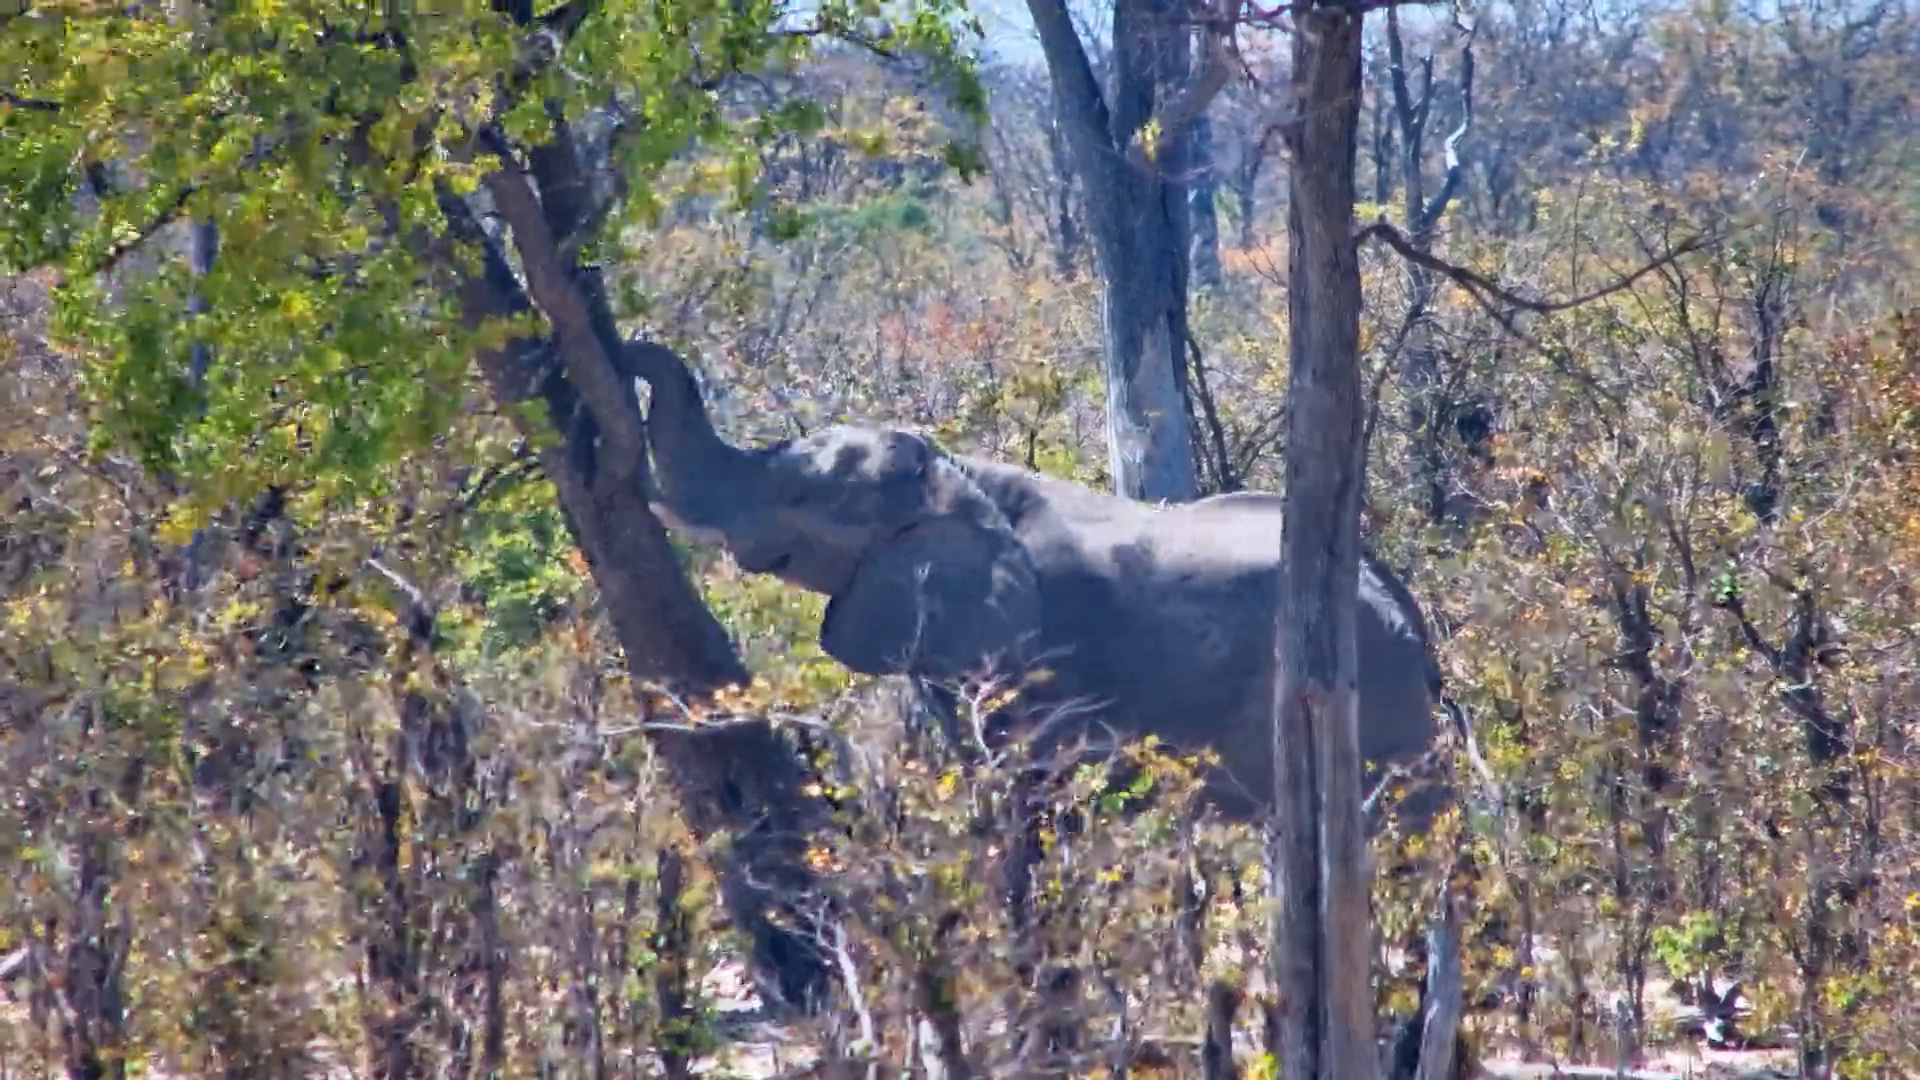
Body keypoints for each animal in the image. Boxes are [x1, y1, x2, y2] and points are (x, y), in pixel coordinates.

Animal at [617, 341, 1466, 831]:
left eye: (801, 494)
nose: (622, 346)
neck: (958, 476)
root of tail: (1402, 603)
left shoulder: (1033, 659)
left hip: (1376, 701)